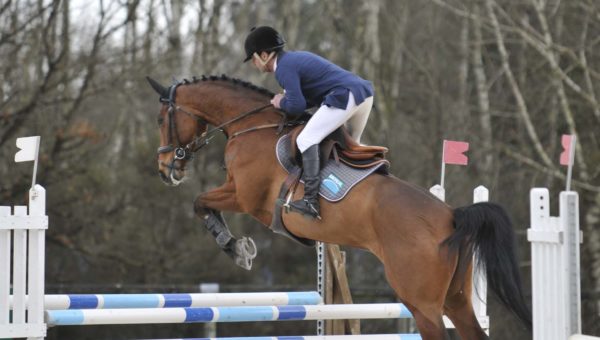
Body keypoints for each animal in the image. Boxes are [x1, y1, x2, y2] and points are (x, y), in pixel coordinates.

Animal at [148, 75, 532, 340]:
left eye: (161, 120)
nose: (166, 170)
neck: (250, 125)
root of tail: (452, 216)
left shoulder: (245, 197)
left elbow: (200, 203)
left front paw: (236, 248)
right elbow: (202, 204)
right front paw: (238, 247)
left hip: (422, 303)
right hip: (456, 299)